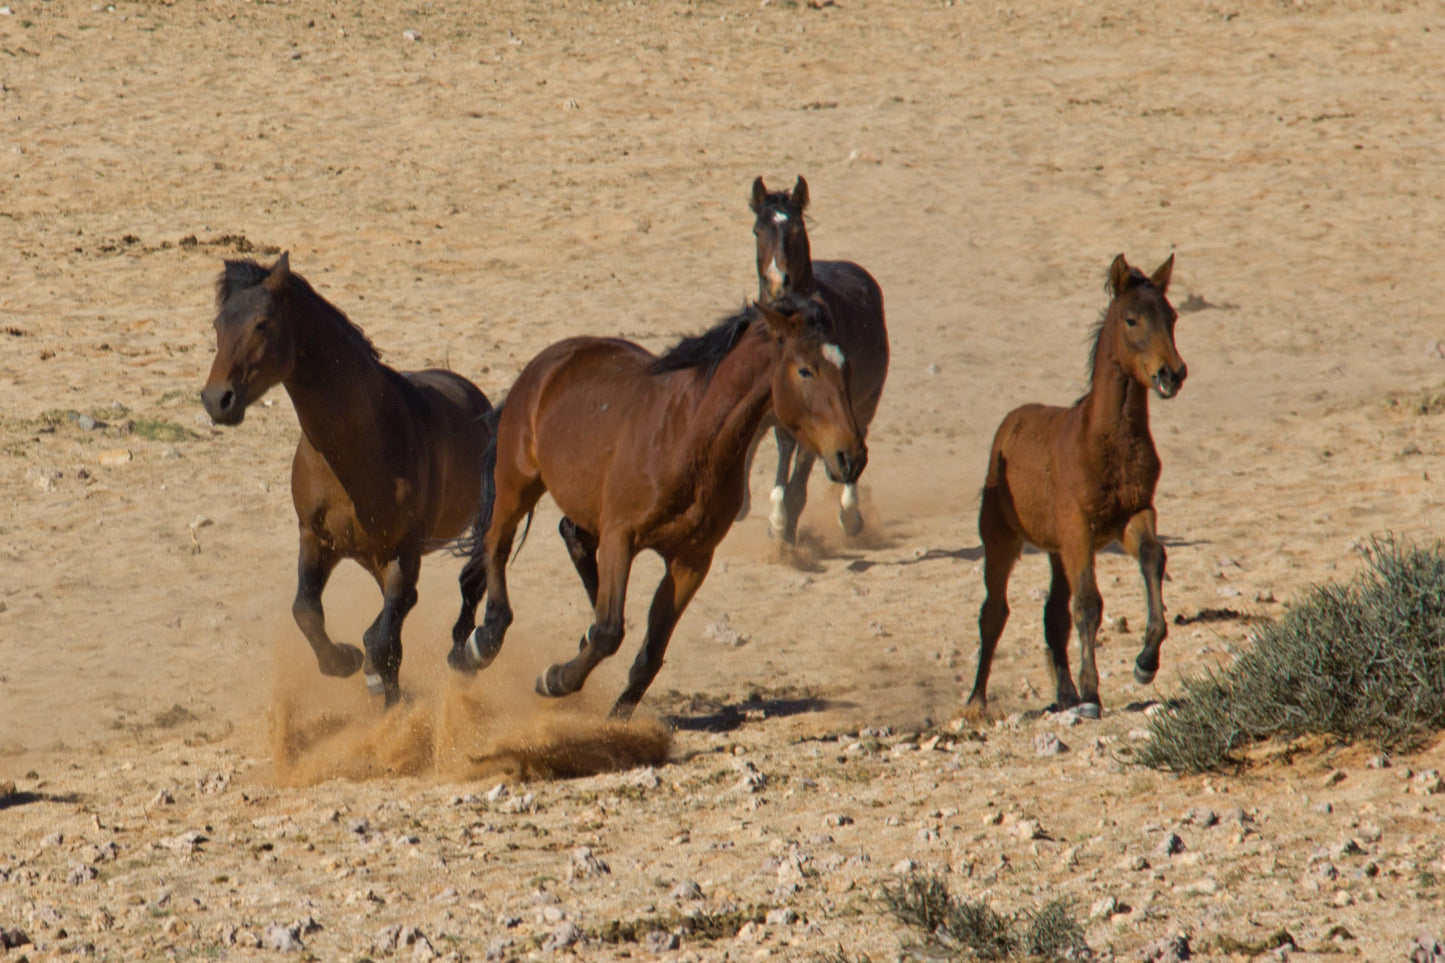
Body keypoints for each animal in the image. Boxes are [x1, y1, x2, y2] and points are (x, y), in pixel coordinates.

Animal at [200, 253, 493, 706]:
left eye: (262, 324)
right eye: (218, 325)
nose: (217, 400)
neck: (357, 450)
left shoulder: (403, 551)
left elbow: (385, 641)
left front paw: (385, 691)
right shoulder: (316, 538)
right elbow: (306, 611)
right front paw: (343, 661)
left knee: (469, 584)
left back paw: (464, 656)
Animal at [447, 293, 867, 719]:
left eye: (847, 367)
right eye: (805, 370)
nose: (850, 457)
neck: (690, 440)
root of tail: (546, 363)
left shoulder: (691, 560)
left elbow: (649, 653)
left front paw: (616, 720)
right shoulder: (621, 537)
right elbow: (610, 632)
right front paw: (554, 680)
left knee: (571, 535)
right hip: (517, 482)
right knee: (496, 546)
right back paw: (481, 643)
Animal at [735, 175, 889, 544]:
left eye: (796, 229)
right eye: (757, 230)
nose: (777, 281)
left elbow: (799, 480)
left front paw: (784, 531)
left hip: (865, 403)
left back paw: (849, 515)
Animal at [964, 254, 1187, 721]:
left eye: (1173, 316)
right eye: (1131, 319)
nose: (1172, 374)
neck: (1103, 440)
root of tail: (1009, 423)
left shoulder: (1133, 515)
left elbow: (1153, 557)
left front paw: (1145, 663)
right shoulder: (1078, 529)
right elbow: (1088, 603)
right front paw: (1090, 695)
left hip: (1055, 549)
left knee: (1052, 614)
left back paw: (1062, 693)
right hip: (1002, 540)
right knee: (994, 612)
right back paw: (976, 699)